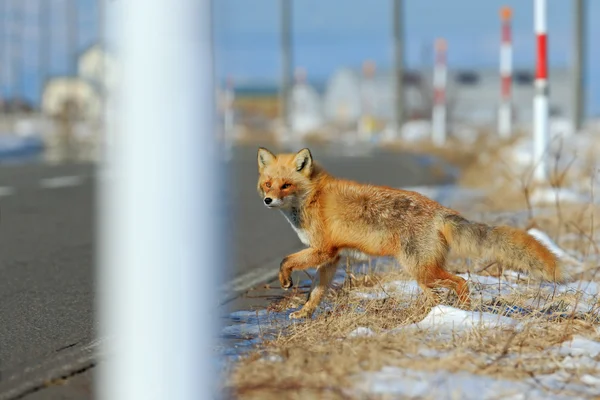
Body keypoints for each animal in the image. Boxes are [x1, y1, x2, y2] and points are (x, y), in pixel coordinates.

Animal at [256, 147, 564, 318]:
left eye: (286, 185)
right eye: (268, 184)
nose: (267, 201)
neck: (313, 198)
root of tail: (440, 210)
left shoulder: (322, 250)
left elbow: (286, 261)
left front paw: (285, 280)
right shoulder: (331, 258)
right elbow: (316, 294)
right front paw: (303, 313)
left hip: (422, 270)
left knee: (462, 282)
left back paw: (461, 312)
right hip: (423, 275)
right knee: (442, 292)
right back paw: (437, 315)